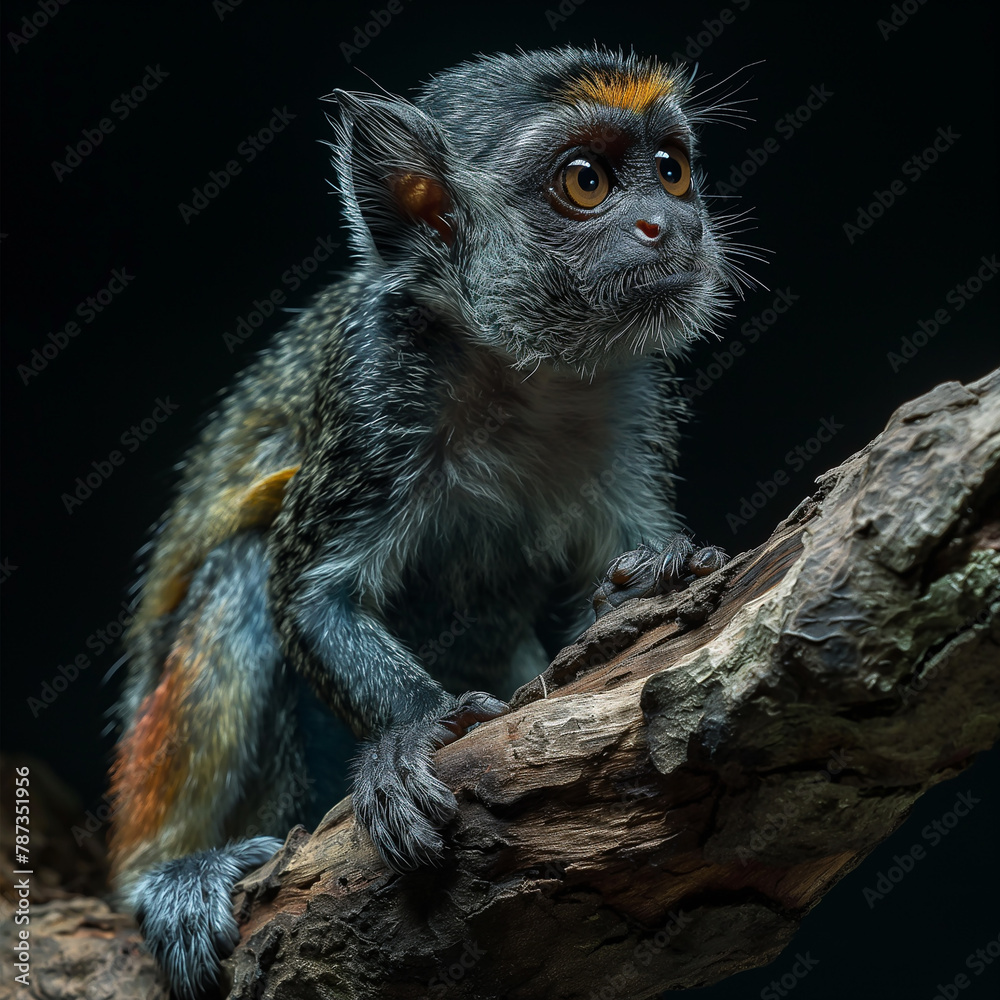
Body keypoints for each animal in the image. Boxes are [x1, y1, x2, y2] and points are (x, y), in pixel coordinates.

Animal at [107, 45, 752, 998]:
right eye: (587, 182)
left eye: (671, 171)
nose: (675, 226)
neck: (518, 370)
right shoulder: (379, 381)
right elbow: (307, 595)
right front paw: (415, 733)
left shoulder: (636, 400)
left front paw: (655, 577)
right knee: (241, 569)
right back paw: (168, 871)